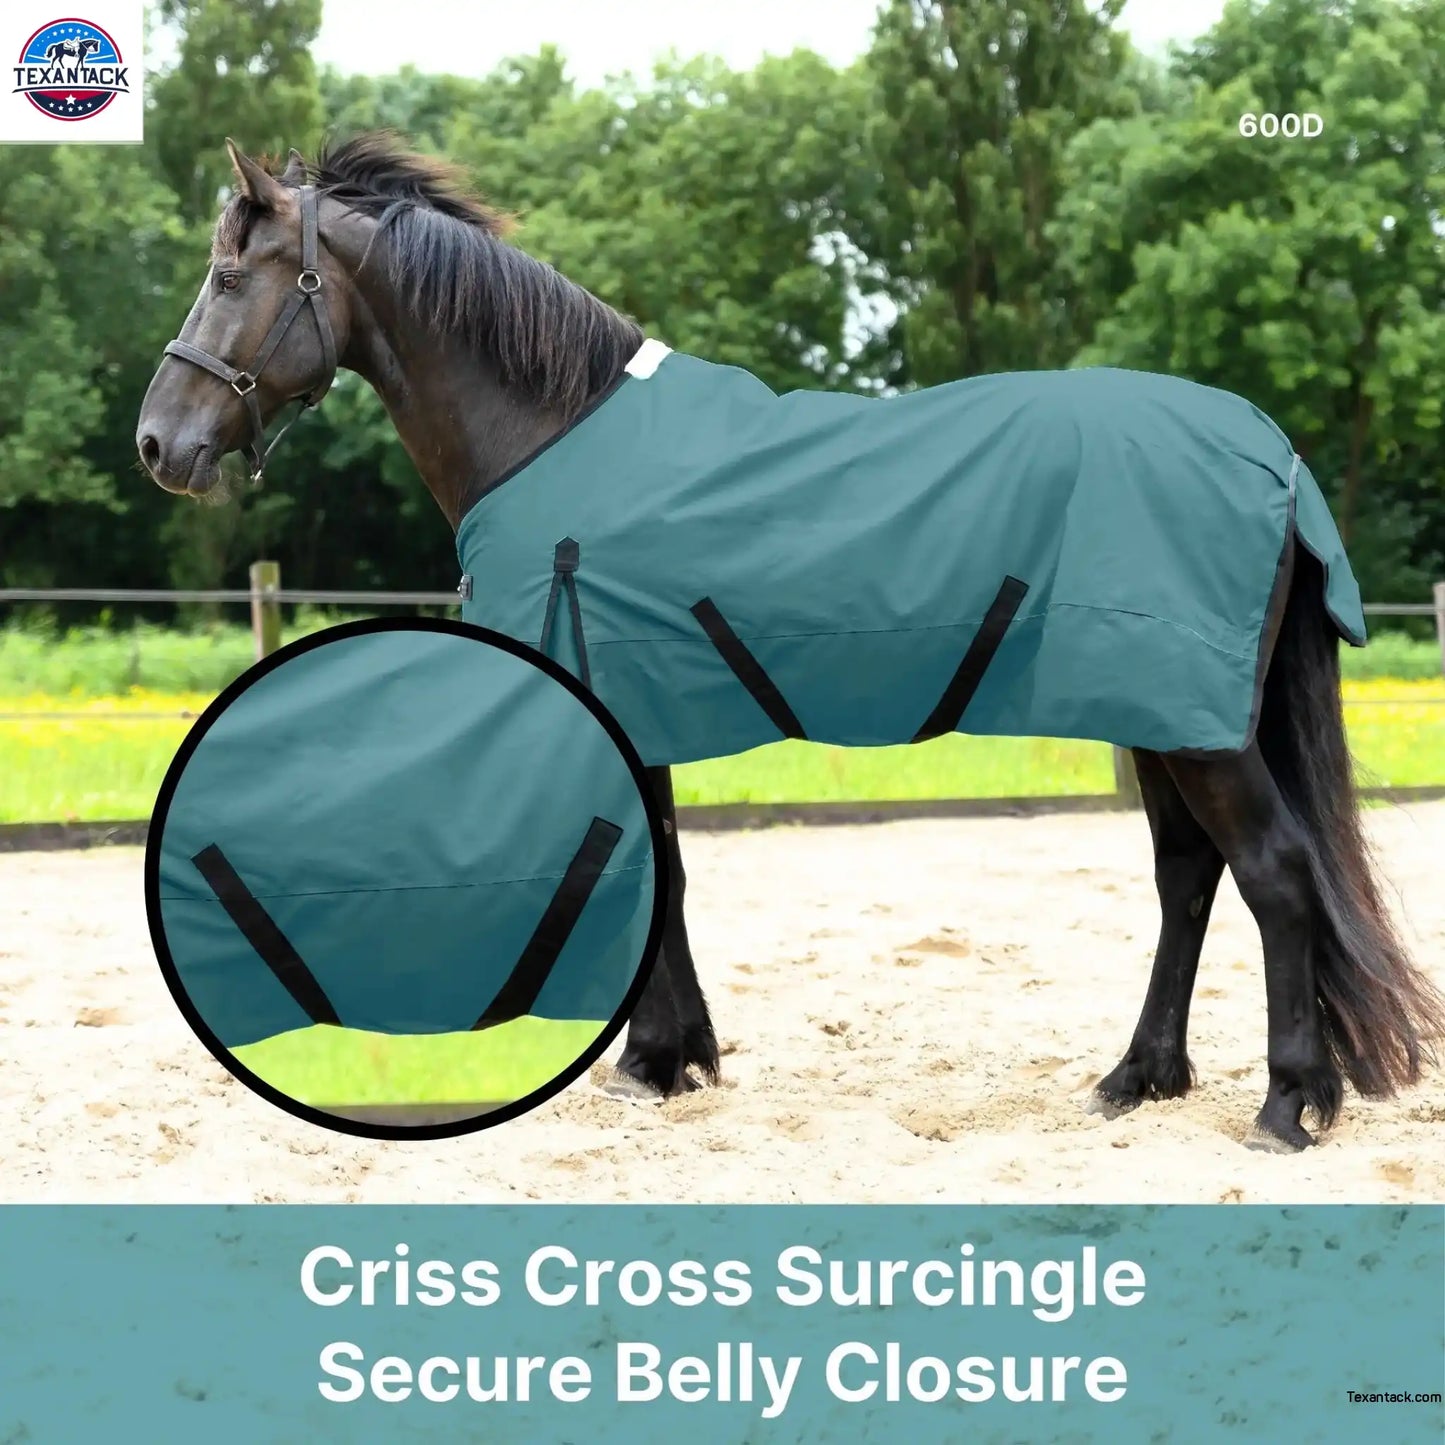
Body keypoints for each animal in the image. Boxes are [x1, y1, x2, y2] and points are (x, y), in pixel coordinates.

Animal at [136, 134, 1444, 1151]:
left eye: (227, 273)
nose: (158, 443)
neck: (550, 430)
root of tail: (1268, 450)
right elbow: (661, 862)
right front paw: (675, 1057)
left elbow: (646, 868)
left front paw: (652, 1061)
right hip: (1161, 712)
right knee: (1188, 877)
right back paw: (1135, 1079)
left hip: (1193, 722)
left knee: (1272, 871)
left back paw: (1286, 1105)